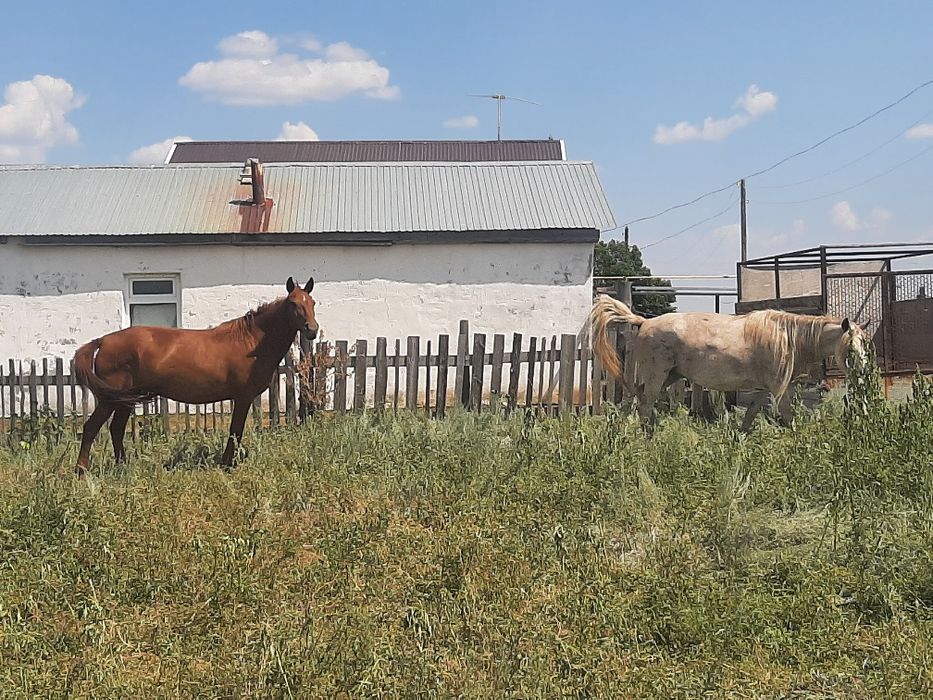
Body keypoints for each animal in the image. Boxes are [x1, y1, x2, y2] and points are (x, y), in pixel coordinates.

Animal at [73, 276, 319, 475]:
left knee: (116, 429)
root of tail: (103, 340)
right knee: (91, 428)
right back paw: (81, 471)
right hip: (110, 400)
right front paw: (226, 465)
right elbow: (235, 431)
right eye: (293, 303)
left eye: (312, 303)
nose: (312, 329)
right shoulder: (243, 397)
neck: (251, 341)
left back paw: (123, 467)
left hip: (125, 400)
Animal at [587, 295, 869, 431]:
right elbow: (788, 416)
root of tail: (643, 322)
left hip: (665, 377)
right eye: (850, 348)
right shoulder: (779, 389)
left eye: (865, 344)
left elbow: (750, 417)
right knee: (644, 407)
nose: (862, 375)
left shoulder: (762, 390)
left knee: (632, 402)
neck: (787, 337)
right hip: (657, 377)